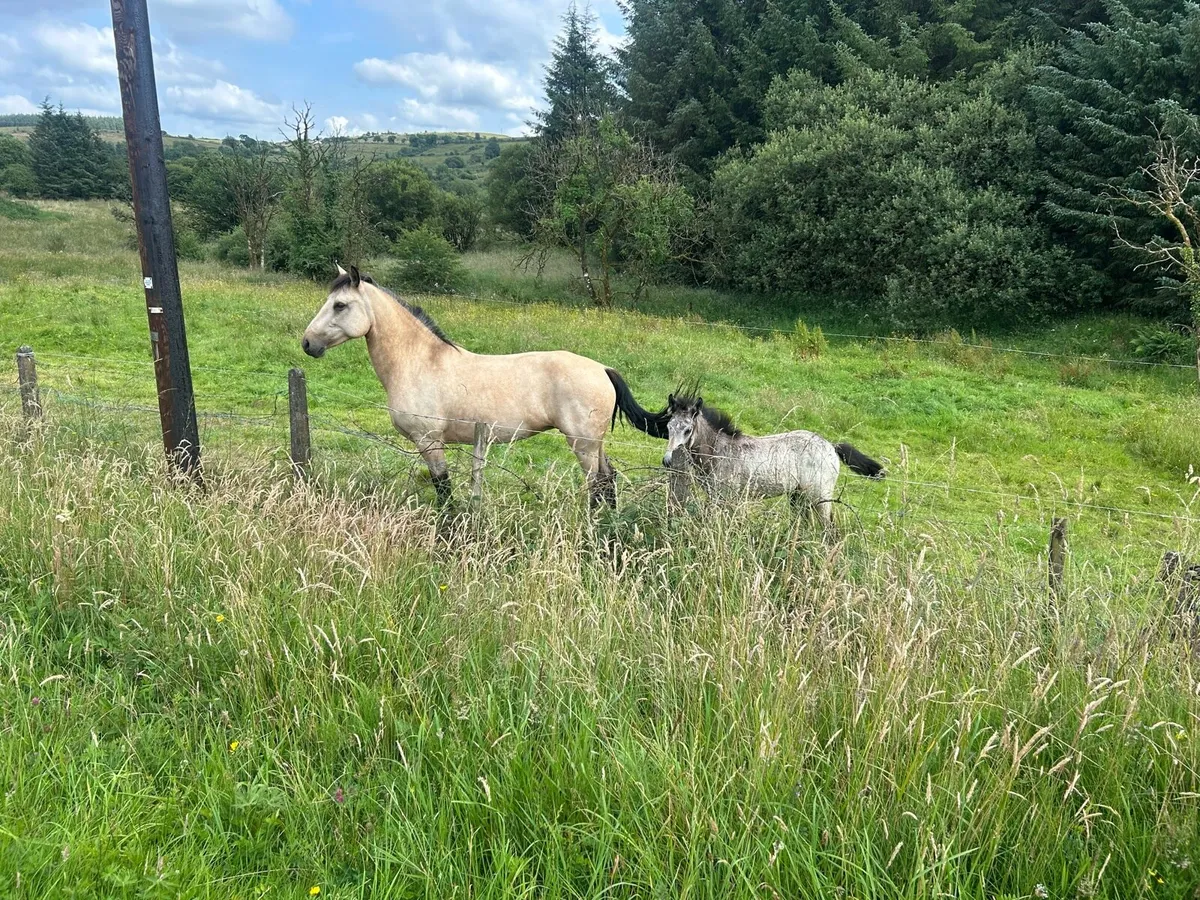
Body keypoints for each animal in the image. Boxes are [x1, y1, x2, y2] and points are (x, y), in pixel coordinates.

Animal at [301, 265, 668, 507]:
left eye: (340, 305)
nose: (307, 343)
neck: (419, 361)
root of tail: (603, 369)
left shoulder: (430, 442)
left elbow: (444, 491)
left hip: (584, 445)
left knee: (598, 485)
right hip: (595, 444)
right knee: (609, 480)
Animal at [661, 391, 885, 527]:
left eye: (688, 430)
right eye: (668, 427)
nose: (667, 460)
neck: (720, 451)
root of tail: (831, 446)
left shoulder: (726, 497)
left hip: (820, 497)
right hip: (799, 497)